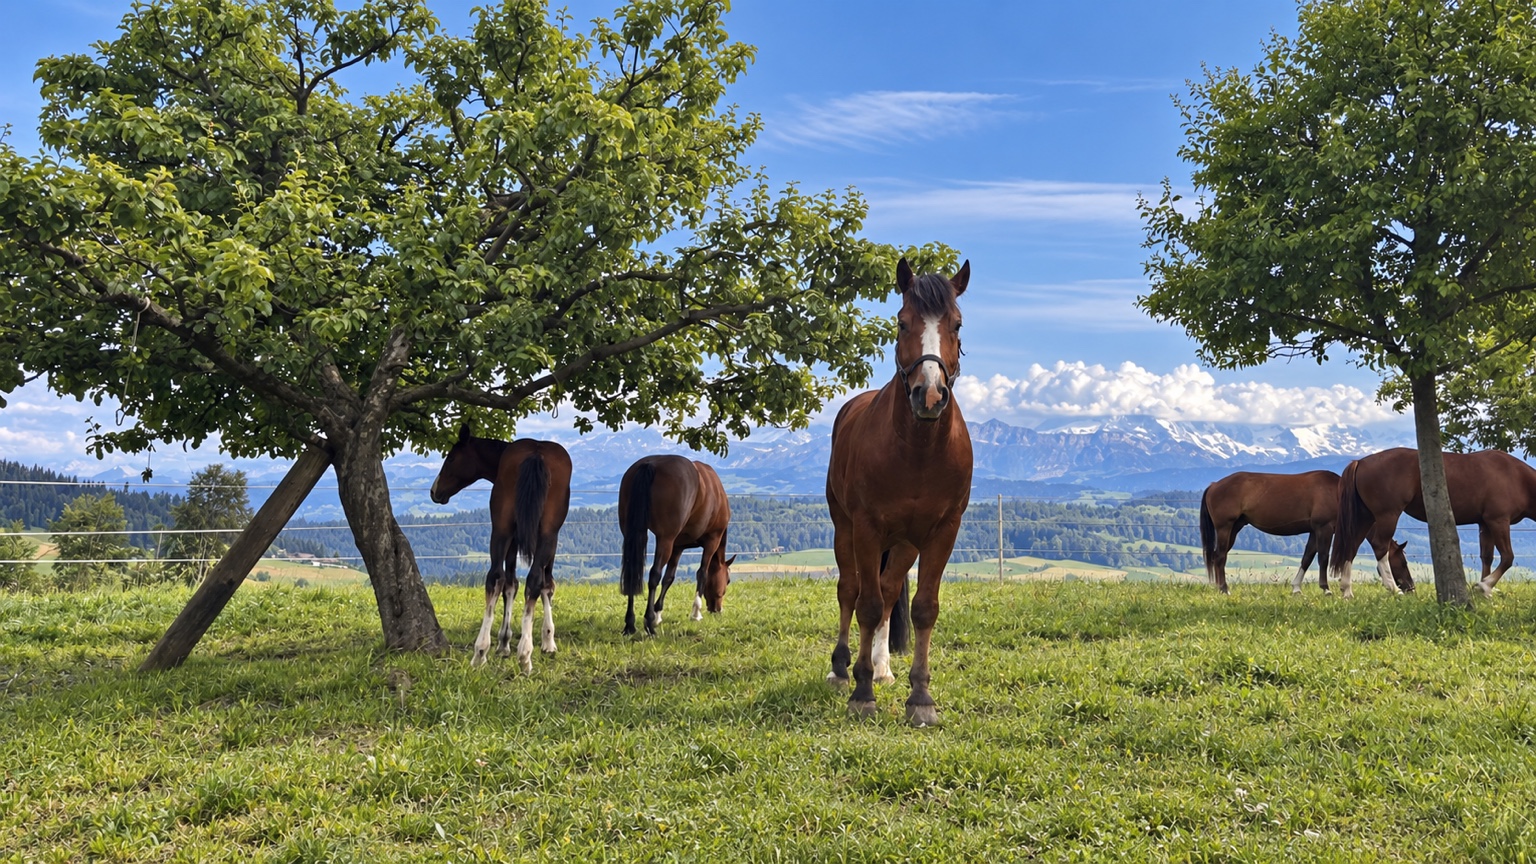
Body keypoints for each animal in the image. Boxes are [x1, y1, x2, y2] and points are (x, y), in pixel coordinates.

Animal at [430, 424, 572, 671]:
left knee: (495, 577)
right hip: (544, 535)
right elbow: (544, 584)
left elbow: (510, 584)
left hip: (502, 530)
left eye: (451, 458)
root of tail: (536, 454)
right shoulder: (547, 540)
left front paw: (505, 643)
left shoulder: (514, 539)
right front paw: (546, 640)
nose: (434, 491)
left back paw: (480, 652)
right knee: (533, 579)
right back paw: (524, 654)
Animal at [618, 454, 735, 635]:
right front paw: (696, 613)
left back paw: (630, 624)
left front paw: (658, 614)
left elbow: (669, 578)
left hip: (632, 532)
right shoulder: (712, 541)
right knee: (654, 575)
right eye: (727, 580)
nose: (717, 609)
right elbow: (702, 573)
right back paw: (649, 624)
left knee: (632, 573)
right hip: (665, 539)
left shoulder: (678, 547)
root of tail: (651, 463)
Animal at [826, 257, 973, 726]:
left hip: (905, 543)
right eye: (902, 322)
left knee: (890, 590)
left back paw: (882, 667)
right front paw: (862, 693)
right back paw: (842, 669)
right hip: (845, 530)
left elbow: (922, 608)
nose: (930, 394)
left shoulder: (942, 532)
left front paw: (920, 697)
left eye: (957, 324)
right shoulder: (867, 529)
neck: (917, 452)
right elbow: (867, 604)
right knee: (851, 590)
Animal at [1331, 447, 1536, 598]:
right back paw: (1393, 588)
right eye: (1403, 563)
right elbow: (1508, 557)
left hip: (1365, 517)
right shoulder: (1498, 521)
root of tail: (1360, 462)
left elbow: (1487, 557)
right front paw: (1485, 587)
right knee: (1380, 546)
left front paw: (1485, 589)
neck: (1515, 476)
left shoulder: (1485, 524)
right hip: (1387, 515)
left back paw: (1347, 591)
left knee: (1351, 547)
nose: (1410, 588)